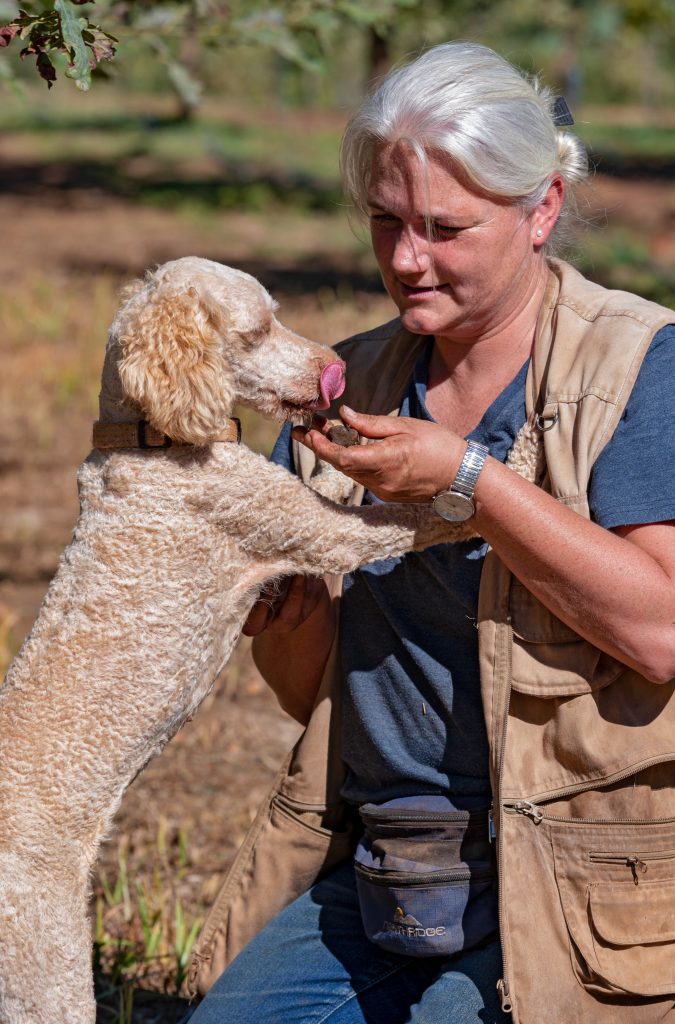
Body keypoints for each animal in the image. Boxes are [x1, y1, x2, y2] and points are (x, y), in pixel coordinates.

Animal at [0, 258, 540, 1024]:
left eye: (279, 315)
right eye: (256, 331)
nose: (332, 370)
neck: (149, 439)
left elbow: (342, 478)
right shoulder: (311, 529)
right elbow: (424, 513)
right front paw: (514, 461)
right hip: (44, 964)